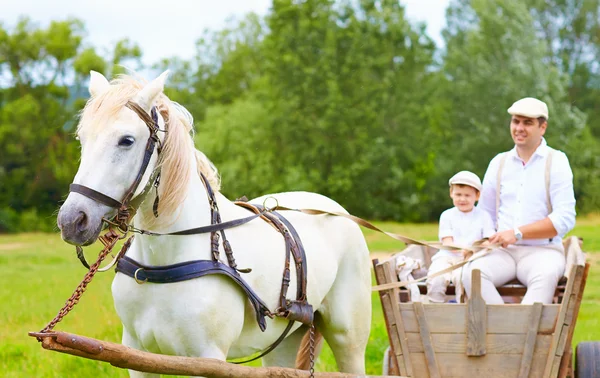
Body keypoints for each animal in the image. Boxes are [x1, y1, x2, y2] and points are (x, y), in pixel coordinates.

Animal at [57, 71, 376, 376]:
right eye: (82, 139)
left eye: (126, 140)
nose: (72, 220)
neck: (162, 263)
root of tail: (330, 206)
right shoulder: (137, 356)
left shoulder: (207, 358)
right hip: (285, 342)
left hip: (348, 338)